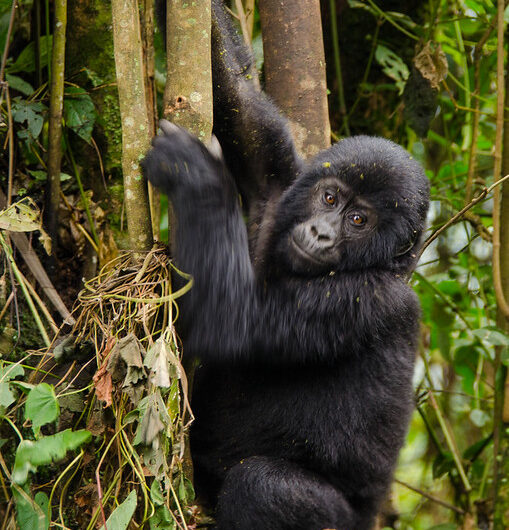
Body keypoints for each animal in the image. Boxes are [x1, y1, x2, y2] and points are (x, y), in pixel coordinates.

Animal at [142, 119, 428, 528]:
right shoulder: (277, 196)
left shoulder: (369, 299)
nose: (321, 233)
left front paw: (193, 173)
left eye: (358, 220)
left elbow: (232, 324)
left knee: (262, 486)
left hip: (340, 521)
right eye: (329, 199)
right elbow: (257, 134)